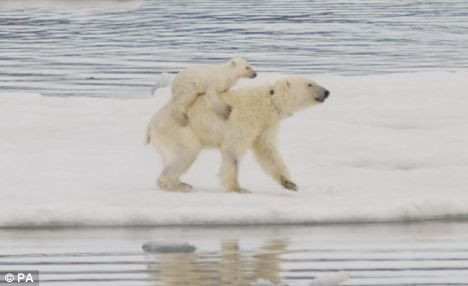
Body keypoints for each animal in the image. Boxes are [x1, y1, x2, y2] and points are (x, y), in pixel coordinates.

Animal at [146, 76, 330, 192]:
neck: (267, 103)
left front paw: (289, 183)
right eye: (309, 84)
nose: (327, 92)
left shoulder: (265, 126)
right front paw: (238, 188)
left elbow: (268, 152)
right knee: (187, 151)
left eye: (314, 82)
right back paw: (176, 185)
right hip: (179, 129)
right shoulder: (244, 119)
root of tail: (151, 124)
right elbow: (232, 150)